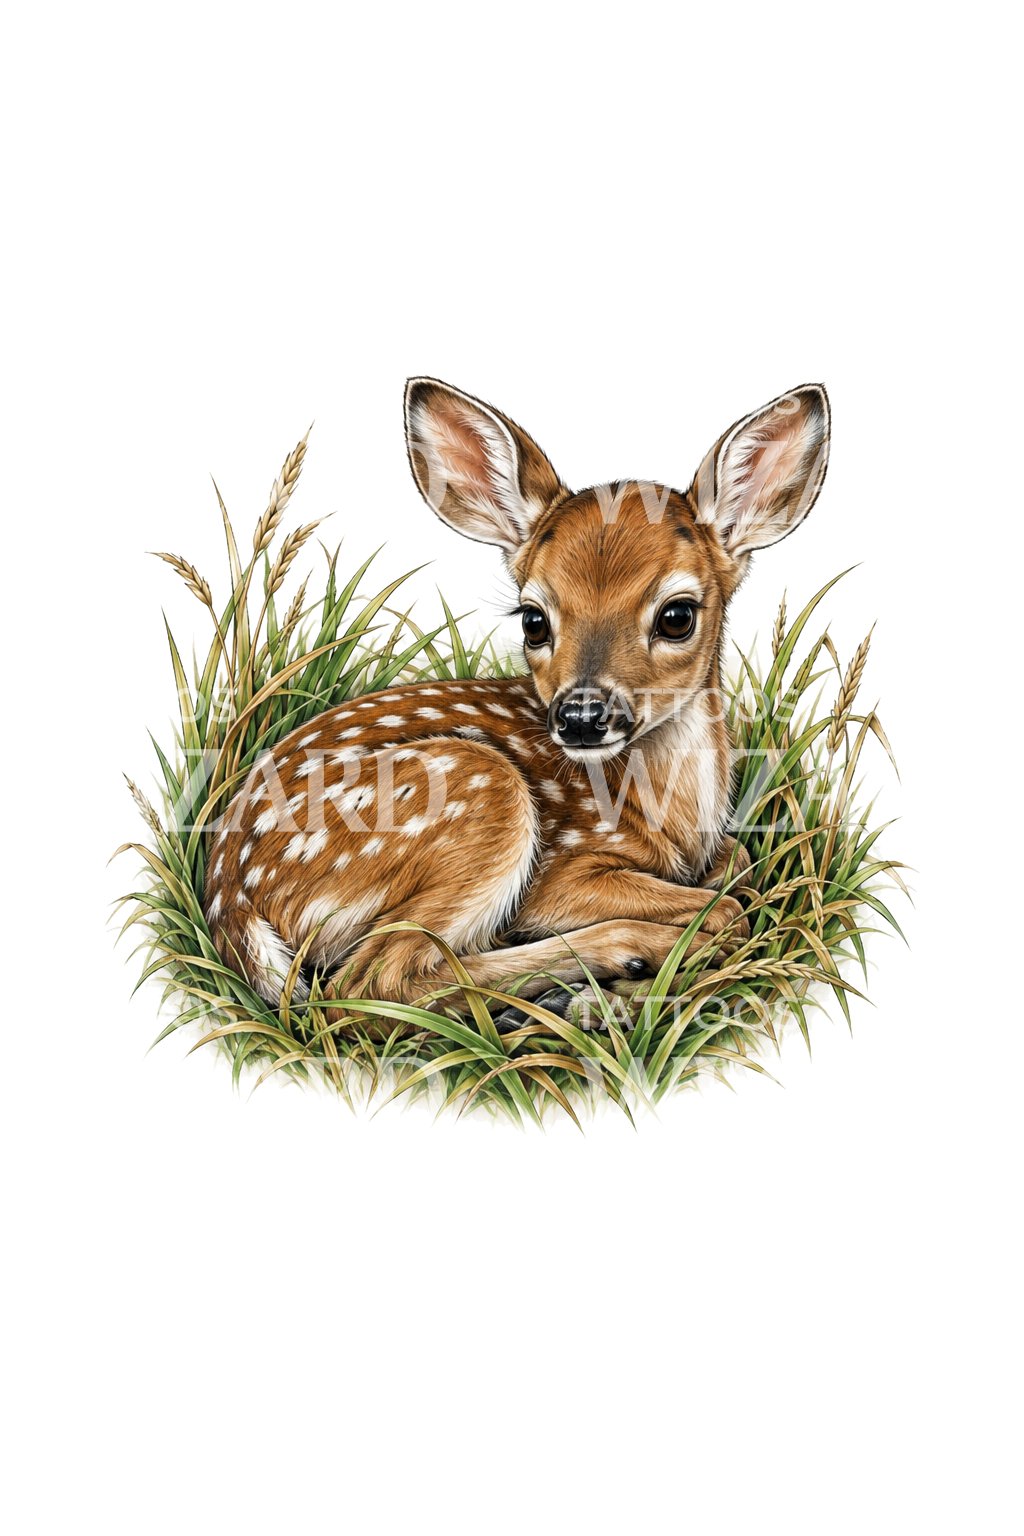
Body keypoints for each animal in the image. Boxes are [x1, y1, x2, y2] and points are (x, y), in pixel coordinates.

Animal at [203, 378, 830, 1022]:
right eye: (533, 620)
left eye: (677, 616)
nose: (581, 717)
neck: (672, 819)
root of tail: (233, 905)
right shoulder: (560, 872)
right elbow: (725, 907)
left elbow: (740, 862)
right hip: (477, 794)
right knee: (366, 985)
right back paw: (620, 959)